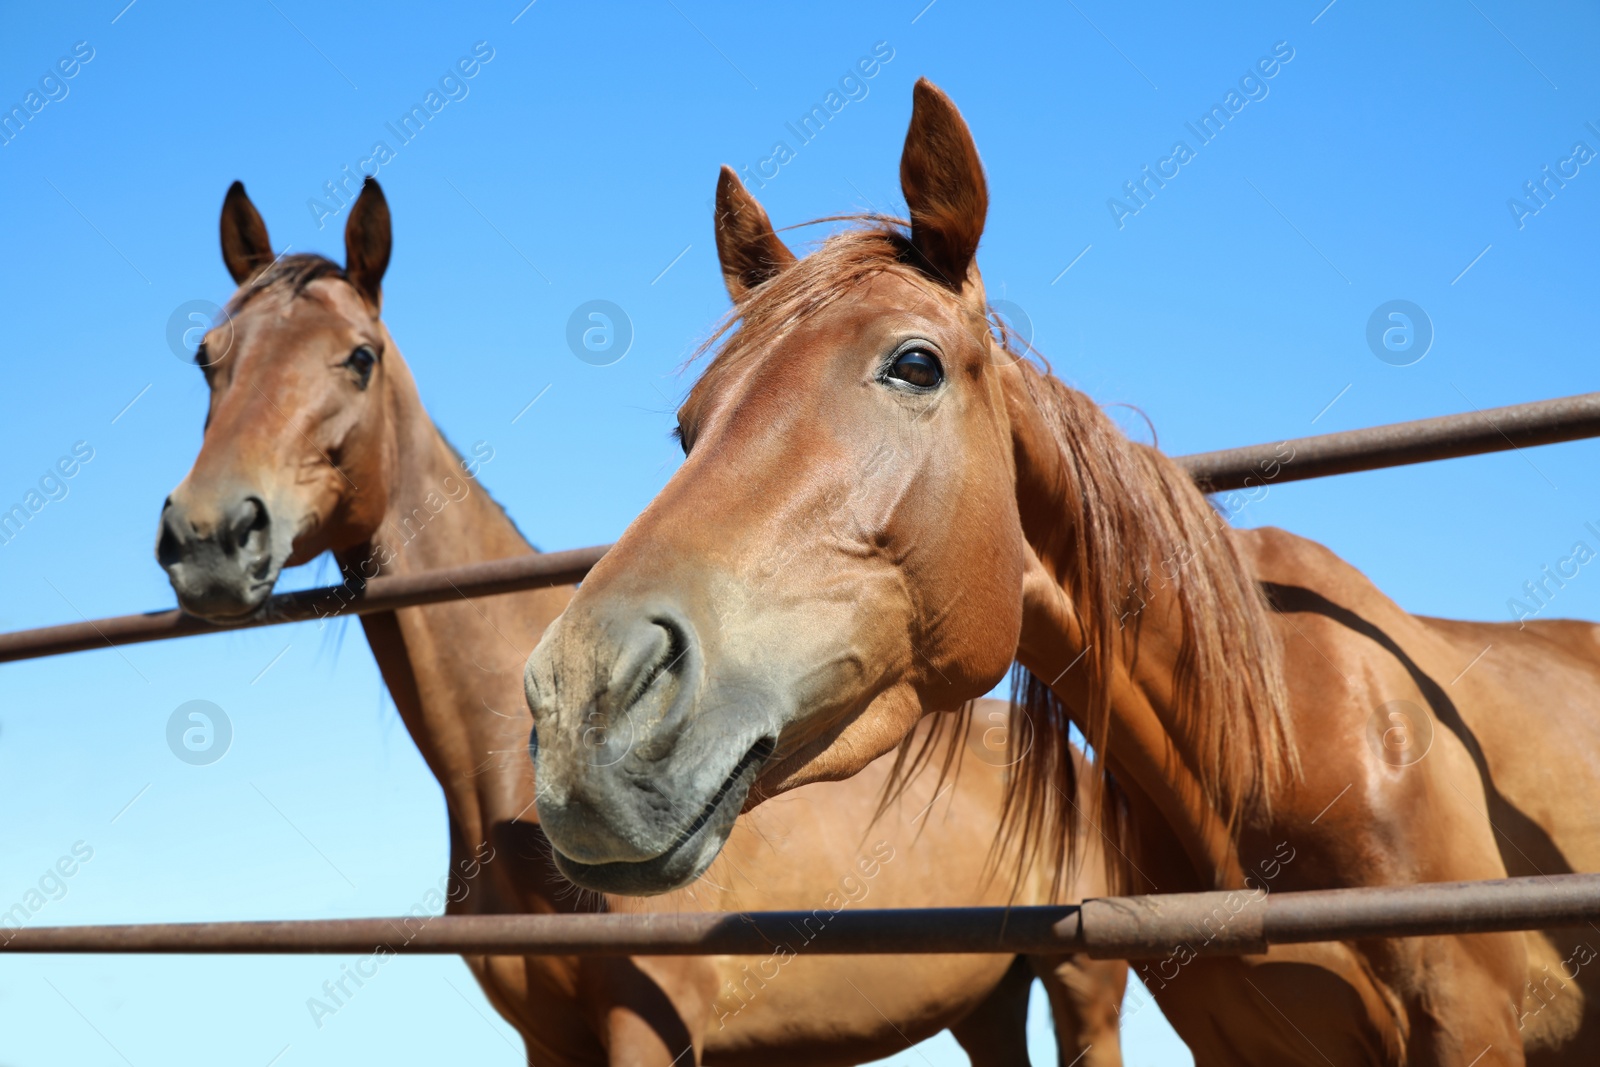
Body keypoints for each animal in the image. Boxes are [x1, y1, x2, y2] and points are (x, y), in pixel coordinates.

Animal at [154, 177, 1129, 1066]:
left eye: (359, 357)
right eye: (207, 357)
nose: (206, 534)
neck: (495, 781)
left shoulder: (649, 1026)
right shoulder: (547, 1038)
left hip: (1083, 986)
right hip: (987, 999)